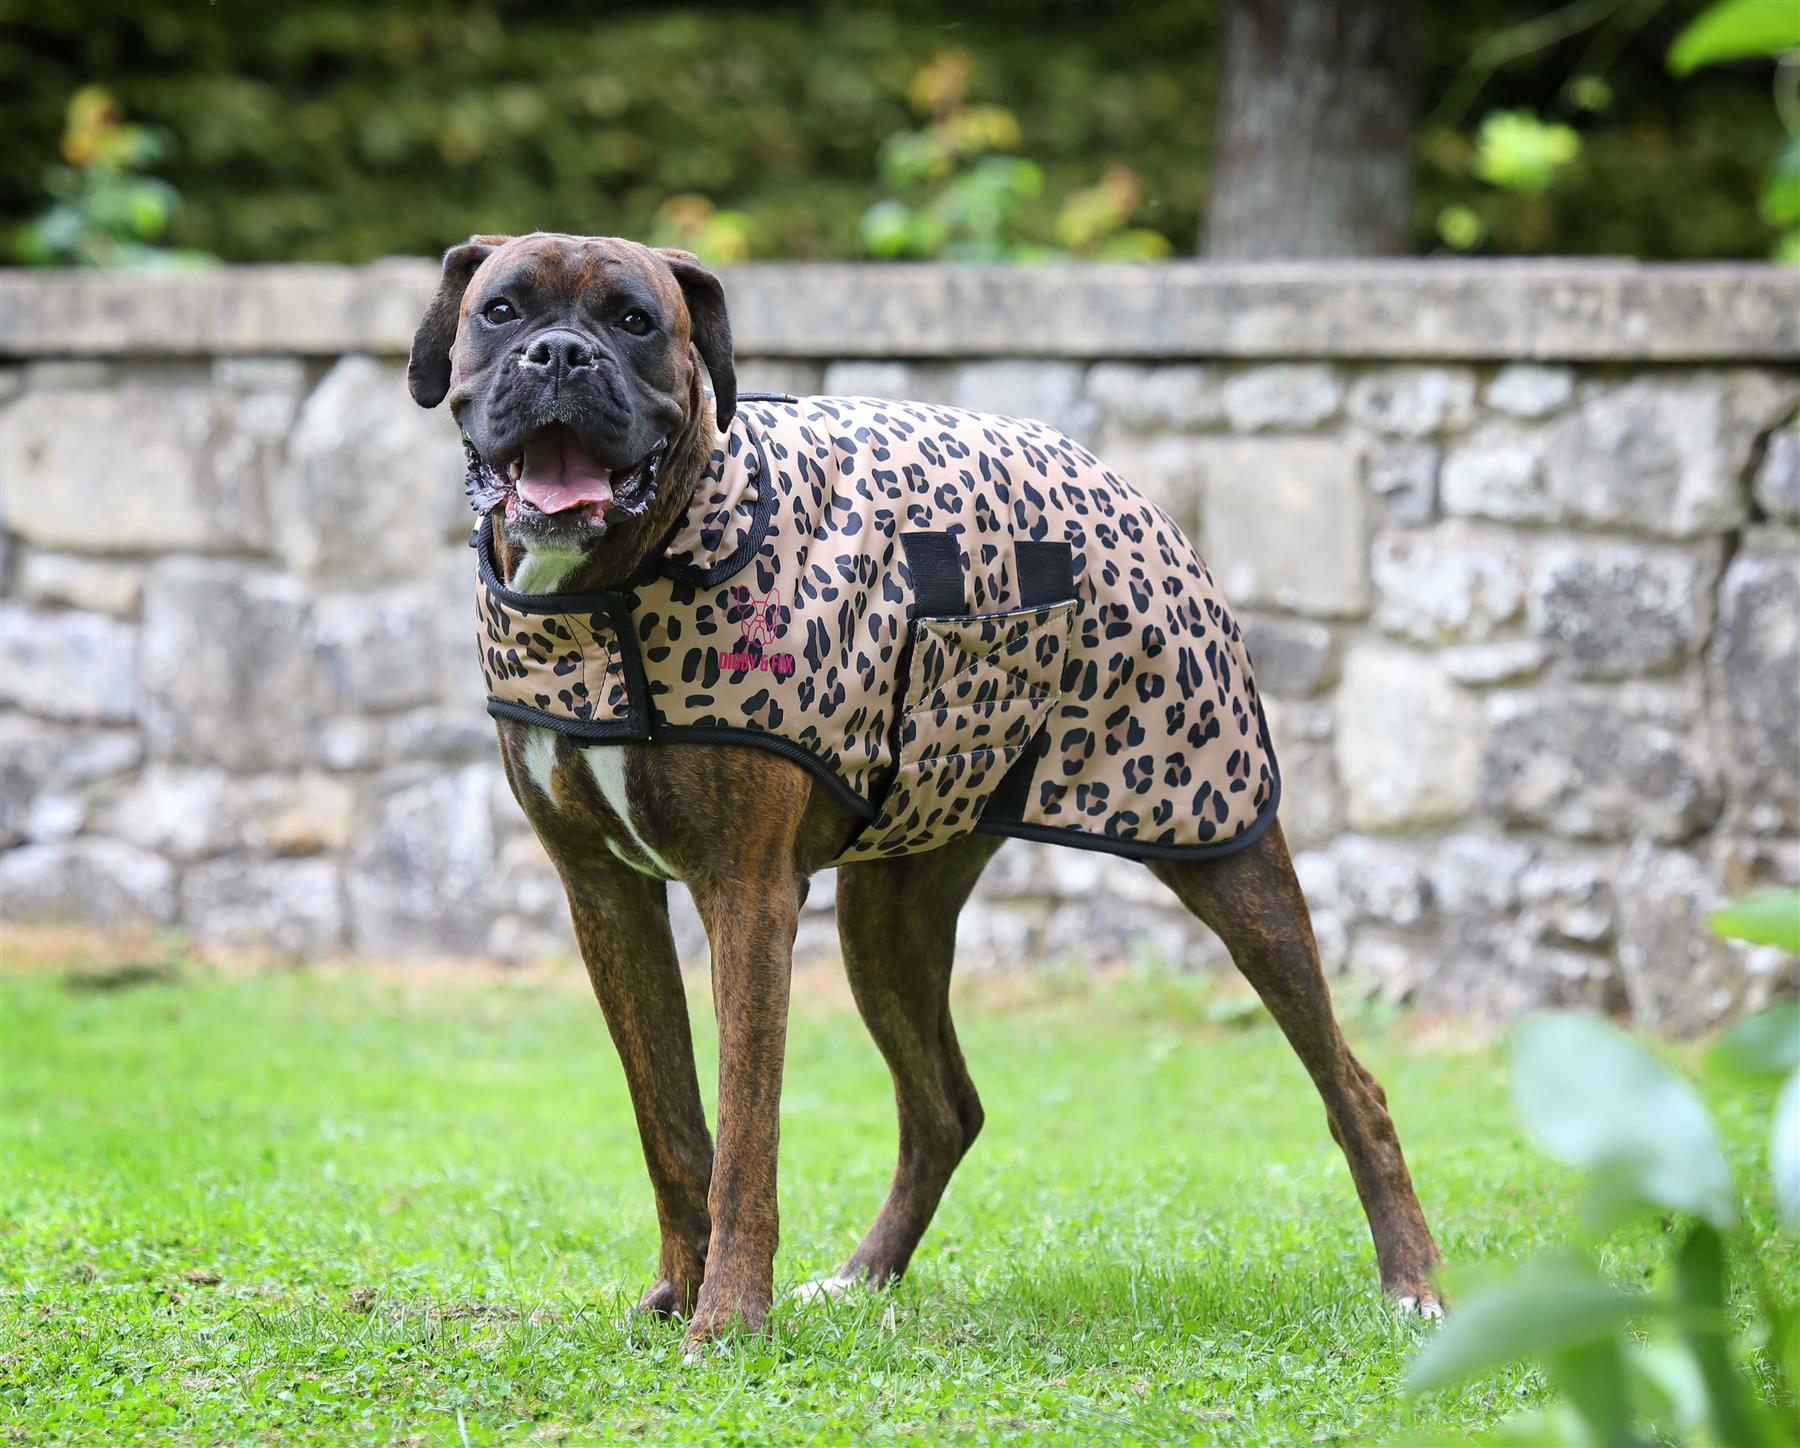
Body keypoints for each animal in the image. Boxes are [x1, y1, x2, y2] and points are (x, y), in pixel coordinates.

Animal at [401, 232, 1440, 1354]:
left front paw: (729, 1319)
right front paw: (677, 1290)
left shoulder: (747, 895)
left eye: (635, 320)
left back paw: (1414, 1283)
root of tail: (1113, 477)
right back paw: (862, 1276)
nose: (559, 354)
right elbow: (671, 1123)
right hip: (889, 912)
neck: (614, 589)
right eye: (502, 309)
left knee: (1353, 1083)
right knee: (946, 1109)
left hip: (1224, 848)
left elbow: (746, 1133)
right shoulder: (603, 892)